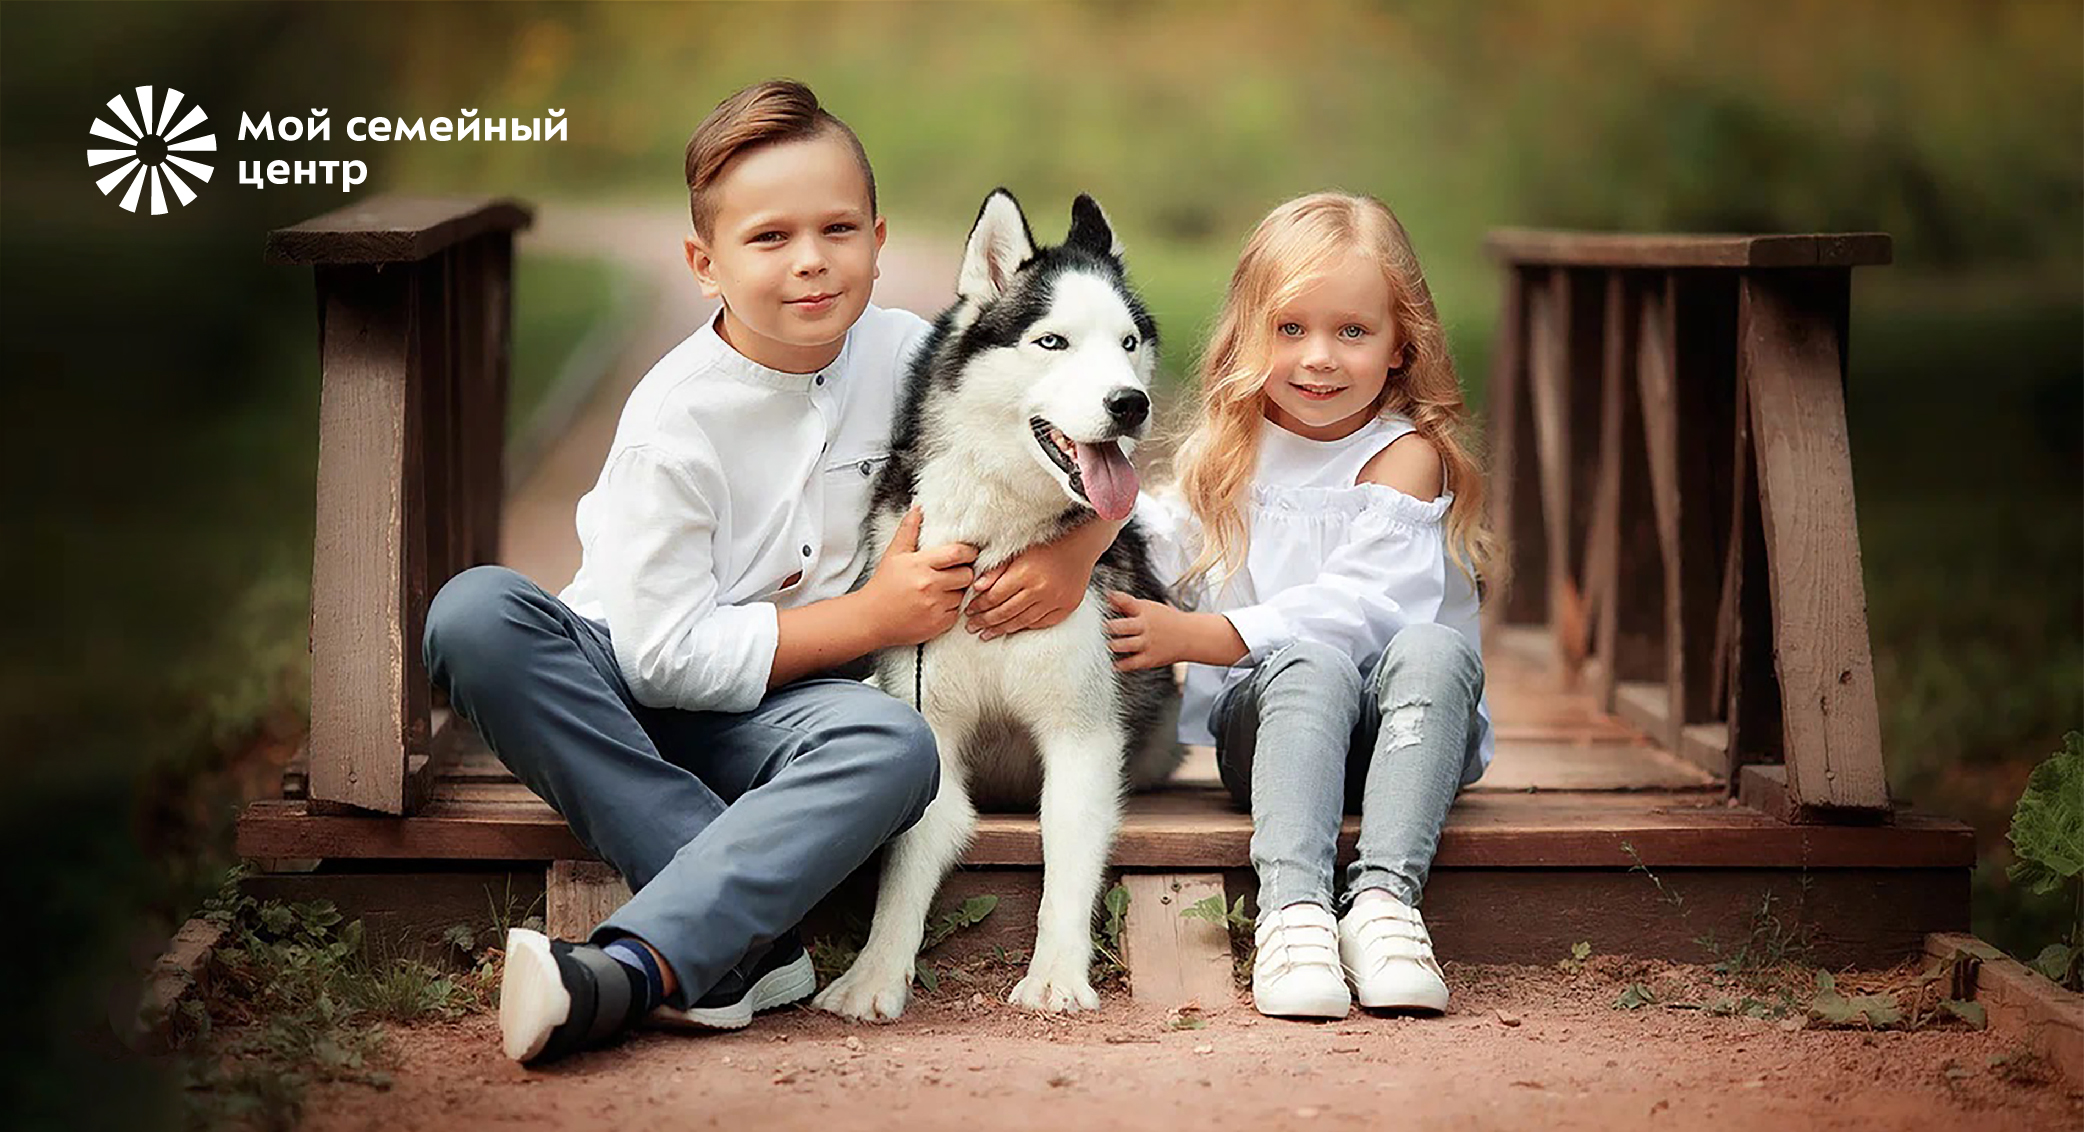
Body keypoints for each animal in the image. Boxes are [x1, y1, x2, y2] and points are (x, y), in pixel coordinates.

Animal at [804, 190, 1183, 1021]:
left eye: (1128, 342)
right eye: (1053, 341)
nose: (1130, 404)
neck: (998, 542)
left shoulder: (1082, 734)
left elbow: (1065, 860)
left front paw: (1057, 975)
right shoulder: (933, 729)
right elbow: (907, 859)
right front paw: (875, 974)